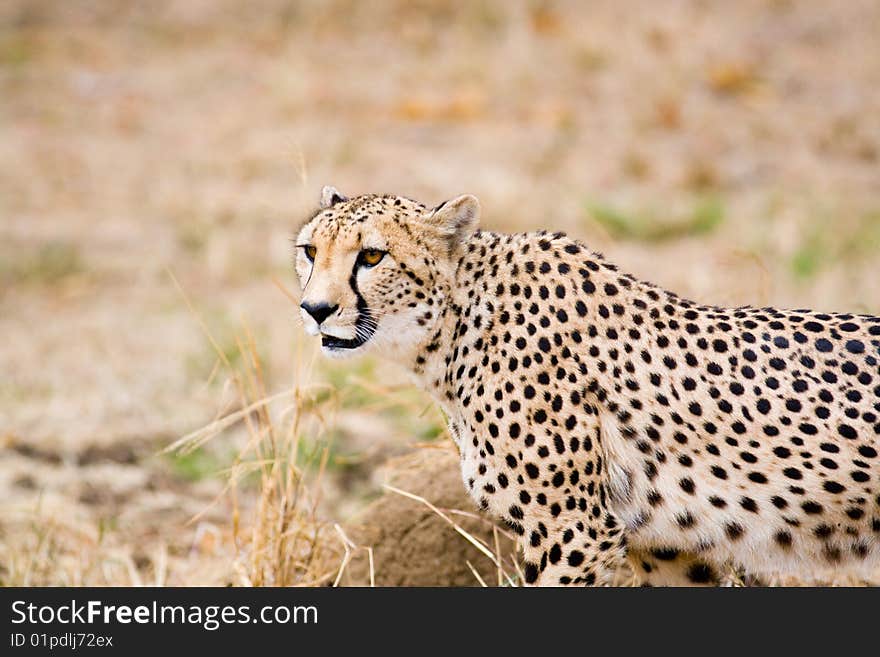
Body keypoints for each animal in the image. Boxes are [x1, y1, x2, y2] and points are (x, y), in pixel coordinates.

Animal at [296, 187, 880, 588]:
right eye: (308, 251)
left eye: (372, 256)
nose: (315, 309)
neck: (457, 327)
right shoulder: (669, 547)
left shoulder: (571, 531)